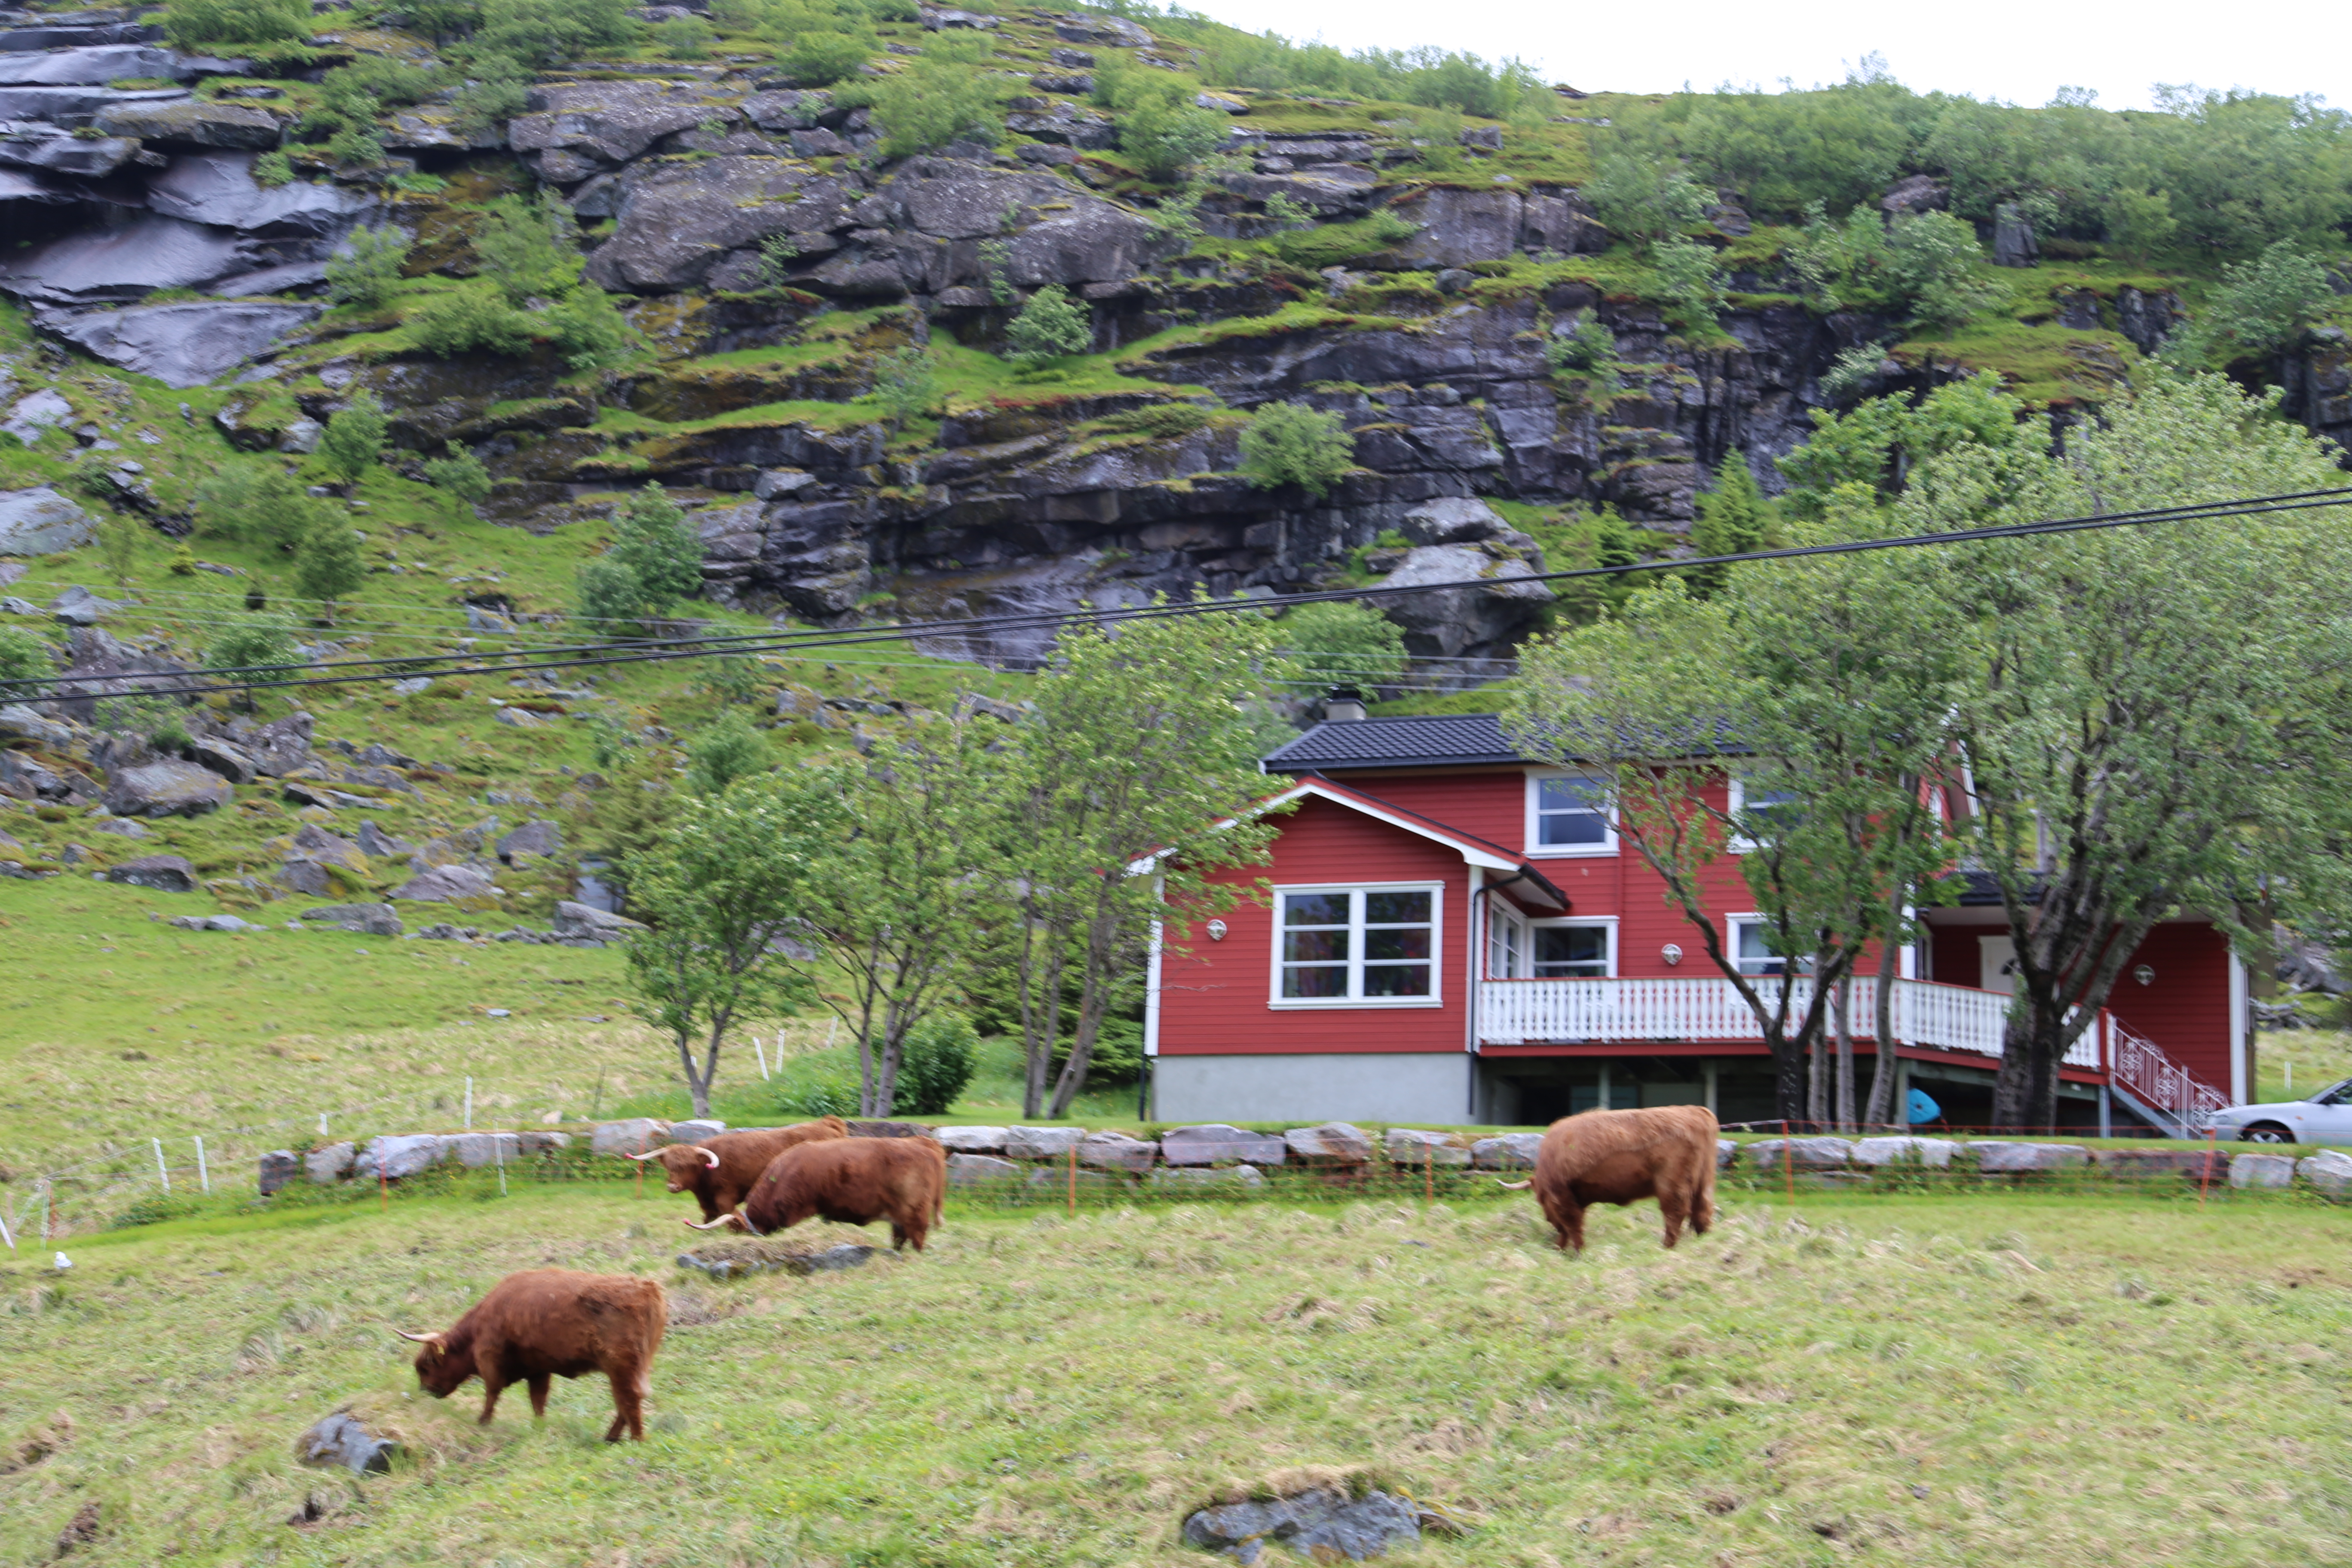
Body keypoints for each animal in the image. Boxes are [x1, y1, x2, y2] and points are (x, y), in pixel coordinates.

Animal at [400, 1269, 668, 1439]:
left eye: (425, 1367)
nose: (424, 1391)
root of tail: (647, 1289)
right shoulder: (539, 1369)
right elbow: (538, 1401)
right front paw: (539, 1427)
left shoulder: (491, 1359)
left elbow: (492, 1393)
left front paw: (483, 1422)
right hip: (627, 1369)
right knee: (625, 1401)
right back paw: (611, 1438)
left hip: (620, 1366)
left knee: (629, 1399)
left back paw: (636, 1440)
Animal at [621, 1114, 851, 1222]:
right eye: (669, 1166)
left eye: (688, 1166)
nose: (673, 1187)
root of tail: (828, 1122)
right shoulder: (708, 1203)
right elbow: (708, 1218)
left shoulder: (726, 1196)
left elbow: (728, 1214)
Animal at [1496, 1109, 1721, 1260]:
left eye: (1541, 1200)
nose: (1547, 1218)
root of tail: (1695, 1111)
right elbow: (1569, 1227)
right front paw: (1559, 1250)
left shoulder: (1562, 1196)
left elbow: (1572, 1226)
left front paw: (1578, 1253)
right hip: (1703, 1181)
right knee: (1702, 1211)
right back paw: (1703, 1245)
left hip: (1671, 1184)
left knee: (1675, 1214)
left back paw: (1666, 1248)